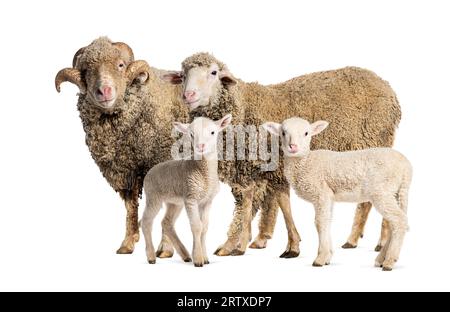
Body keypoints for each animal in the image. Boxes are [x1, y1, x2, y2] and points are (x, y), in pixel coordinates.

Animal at [54, 37, 188, 255]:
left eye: (120, 65)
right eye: (85, 70)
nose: (104, 91)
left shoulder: (164, 160)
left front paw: (166, 248)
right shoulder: (125, 170)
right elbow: (130, 205)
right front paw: (128, 242)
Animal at [142, 114, 234, 266]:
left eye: (213, 132)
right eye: (191, 134)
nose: (200, 146)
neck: (204, 174)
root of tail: (149, 171)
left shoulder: (207, 201)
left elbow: (204, 227)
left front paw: (205, 257)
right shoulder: (191, 197)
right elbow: (196, 226)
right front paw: (198, 259)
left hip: (174, 202)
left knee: (166, 223)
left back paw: (185, 255)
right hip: (153, 196)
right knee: (146, 222)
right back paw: (151, 257)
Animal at [162, 52, 400, 258]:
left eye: (213, 73)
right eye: (183, 75)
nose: (188, 95)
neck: (243, 108)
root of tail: (386, 86)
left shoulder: (273, 169)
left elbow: (277, 204)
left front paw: (289, 246)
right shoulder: (255, 170)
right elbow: (255, 202)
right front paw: (239, 243)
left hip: (374, 143)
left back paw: (374, 240)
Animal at [262, 117, 414, 270]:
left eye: (306, 133)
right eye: (283, 133)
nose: (293, 147)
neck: (306, 162)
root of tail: (406, 167)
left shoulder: (321, 193)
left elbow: (320, 223)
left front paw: (320, 258)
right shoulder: (328, 196)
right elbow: (327, 221)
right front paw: (328, 257)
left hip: (382, 191)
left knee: (399, 221)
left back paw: (389, 261)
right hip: (395, 192)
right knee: (395, 222)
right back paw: (381, 259)